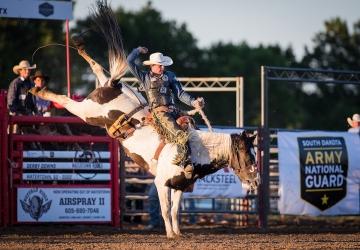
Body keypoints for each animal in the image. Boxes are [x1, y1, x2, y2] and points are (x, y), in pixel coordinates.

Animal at [28, 0, 258, 238]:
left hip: (102, 92)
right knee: (66, 99)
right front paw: (169, 234)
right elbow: (165, 209)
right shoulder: (161, 182)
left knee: (98, 69)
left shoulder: (179, 186)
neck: (198, 151)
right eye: (247, 155)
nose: (255, 181)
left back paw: (79, 44)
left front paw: (178, 233)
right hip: (87, 111)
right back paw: (39, 90)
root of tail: (113, 86)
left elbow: (174, 210)